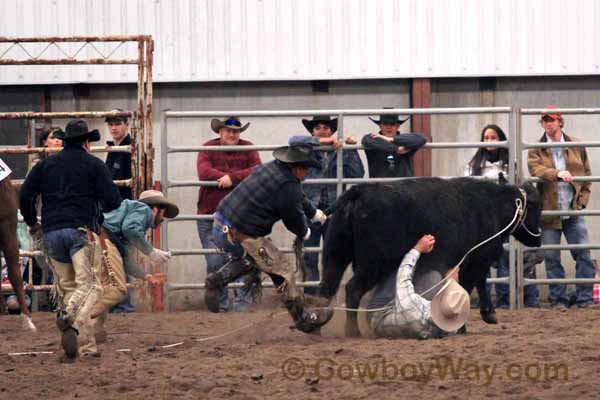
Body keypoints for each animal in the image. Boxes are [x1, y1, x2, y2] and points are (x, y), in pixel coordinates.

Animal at [296, 177, 544, 336]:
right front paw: (471, 322)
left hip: (335, 254)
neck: (492, 205)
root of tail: (357, 193)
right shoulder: (479, 257)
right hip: (371, 264)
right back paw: (353, 331)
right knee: (352, 290)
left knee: (326, 289)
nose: (539, 239)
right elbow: (471, 284)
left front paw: (487, 315)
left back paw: (316, 328)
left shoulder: (475, 259)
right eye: (538, 207)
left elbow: (479, 283)